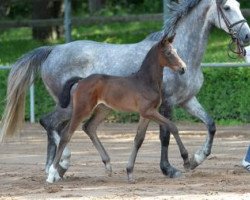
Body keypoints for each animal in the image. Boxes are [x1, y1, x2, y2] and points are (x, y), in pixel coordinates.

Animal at [47, 35, 188, 184]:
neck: (146, 82)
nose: (183, 68)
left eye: (176, 51)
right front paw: (186, 160)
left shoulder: (146, 114)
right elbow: (172, 126)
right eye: (168, 53)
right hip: (82, 110)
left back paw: (108, 165)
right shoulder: (149, 111)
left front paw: (129, 172)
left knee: (89, 127)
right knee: (66, 134)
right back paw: (51, 174)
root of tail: (81, 80)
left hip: (103, 109)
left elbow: (139, 139)